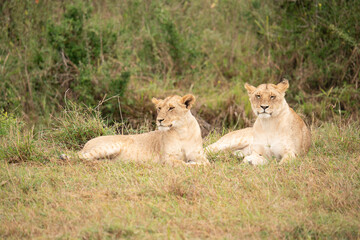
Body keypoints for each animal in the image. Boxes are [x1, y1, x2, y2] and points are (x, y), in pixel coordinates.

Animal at [61, 94, 208, 166]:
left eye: (171, 108)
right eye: (159, 108)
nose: (159, 120)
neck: (182, 131)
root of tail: (87, 143)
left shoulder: (199, 155)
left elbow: (206, 164)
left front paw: (194, 163)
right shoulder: (166, 158)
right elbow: (183, 164)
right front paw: (190, 164)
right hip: (110, 146)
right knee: (80, 156)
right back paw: (63, 157)